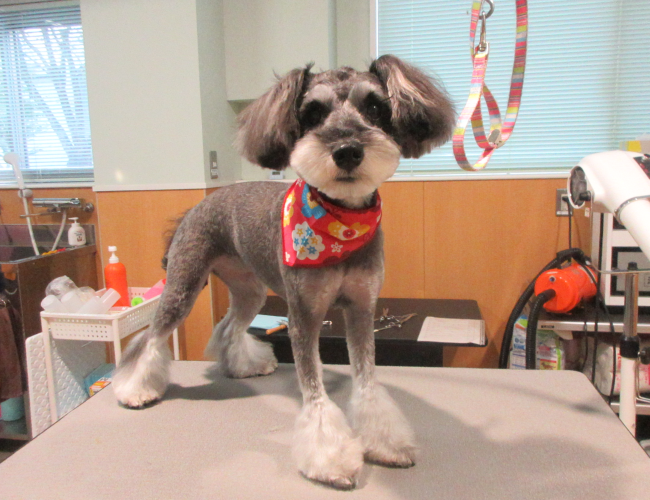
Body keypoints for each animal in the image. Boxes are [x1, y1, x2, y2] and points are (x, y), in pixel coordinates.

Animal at [111, 54, 454, 489]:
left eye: (375, 107)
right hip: (183, 286)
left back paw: (244, 364)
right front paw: (331, 459)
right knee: (151, 339)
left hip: (250, 291)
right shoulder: (303, 315)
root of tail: (197, 205)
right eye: (313, 113)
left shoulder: (362, 308)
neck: (341, 224)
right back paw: (135, 389)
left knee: (230, 327)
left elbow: (367, 381)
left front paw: (384, 442)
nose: (347, 150)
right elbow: (315, 392)